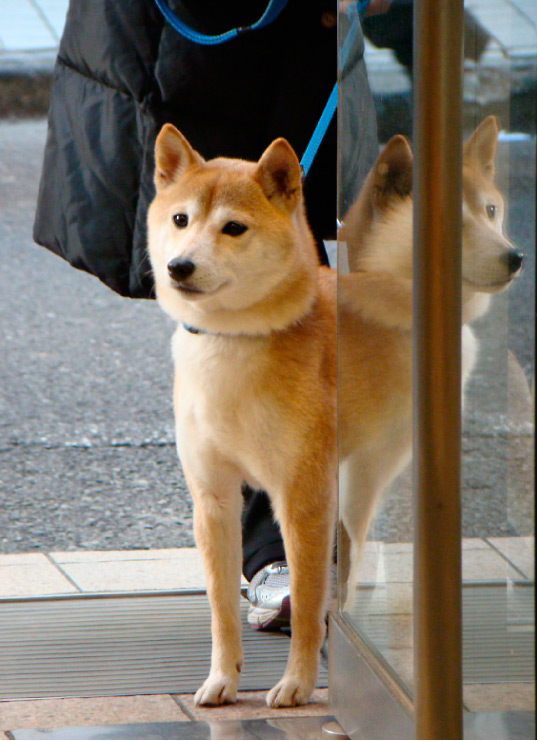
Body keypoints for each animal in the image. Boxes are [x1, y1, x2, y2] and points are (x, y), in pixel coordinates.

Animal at [146, 115, 520, 704]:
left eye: (234, 228)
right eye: (181, 219)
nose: (179, 266)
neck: (237, 341)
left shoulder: (303, 496)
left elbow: (306, 599)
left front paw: (297, 682)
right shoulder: (213, 497)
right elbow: (221, 610)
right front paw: (222, 679)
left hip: (371, 471)